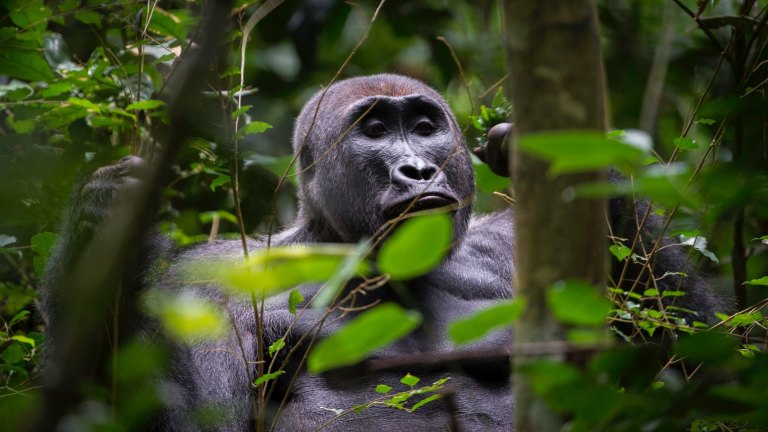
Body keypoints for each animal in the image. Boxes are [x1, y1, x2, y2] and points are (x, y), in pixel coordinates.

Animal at [42, 72, 728, 430]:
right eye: (373, 131)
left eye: (425, 128)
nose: (417, 170)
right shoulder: (208, 279)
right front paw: (100, 221)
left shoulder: (504, 245)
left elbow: (702, 364)